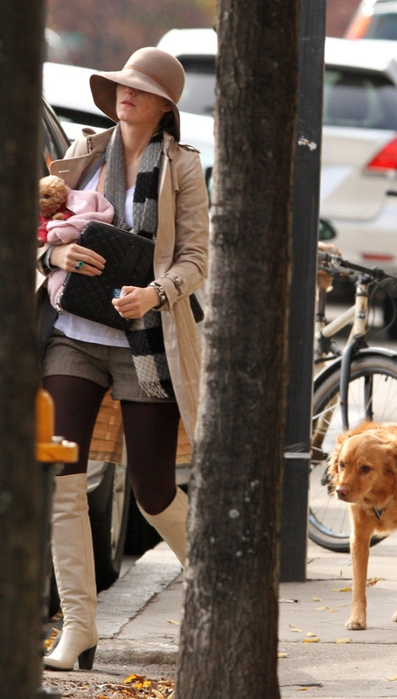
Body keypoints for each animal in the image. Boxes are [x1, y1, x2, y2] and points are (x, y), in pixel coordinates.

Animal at [330, 424, 397, 632]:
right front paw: (357, 618)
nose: (340, 492)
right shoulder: (358, 536)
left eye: (365, 468)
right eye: (342, 464)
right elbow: (358, 584)